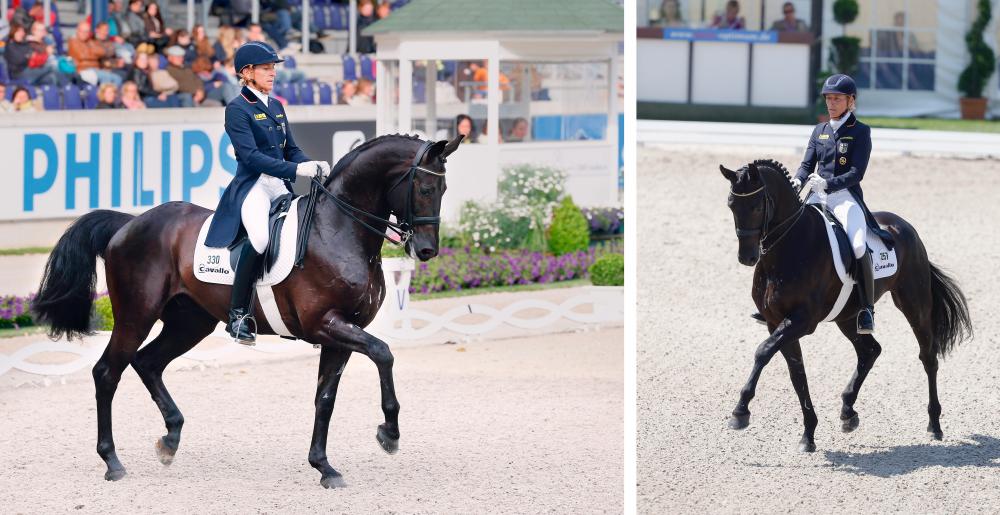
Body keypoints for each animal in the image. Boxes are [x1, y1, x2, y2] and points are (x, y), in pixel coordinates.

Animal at [34, 133, 464, 488]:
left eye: (444, 187)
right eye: (425, 187)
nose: (426, 250)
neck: (338, 229)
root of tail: (131, 222)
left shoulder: (340, 333)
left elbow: (325, 398)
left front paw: (324, 467)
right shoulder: (326, 325)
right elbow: (383, 353)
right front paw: (388, 433)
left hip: (190, 321)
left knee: (148, 363)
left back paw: (170, 439)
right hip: (136, 315)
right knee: (108, 372)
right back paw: (112, 462)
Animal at [720, 160, 968, 452]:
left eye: (757, 206)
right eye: (731, 205)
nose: (747, 257)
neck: (790, 247)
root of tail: (905, 227)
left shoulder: (802, 321)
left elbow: (763, 352)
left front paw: (740, 412)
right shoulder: (776, 322)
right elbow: (797, 373)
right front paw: (808, 434)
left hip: (914, 304)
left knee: (928, 356)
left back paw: (934, 425)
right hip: (849, 317)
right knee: (870, 351)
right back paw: (848, 412)